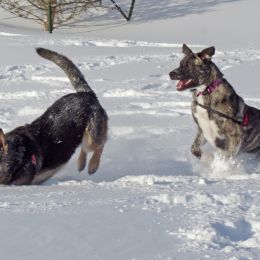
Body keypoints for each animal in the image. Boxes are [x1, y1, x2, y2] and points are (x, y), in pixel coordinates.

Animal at [0, 47, 107, 185]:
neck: (18, 156)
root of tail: (86, 93)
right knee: (86, 148)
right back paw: (81, 164)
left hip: (91, 137)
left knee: (100, 144)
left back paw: (93, 165)